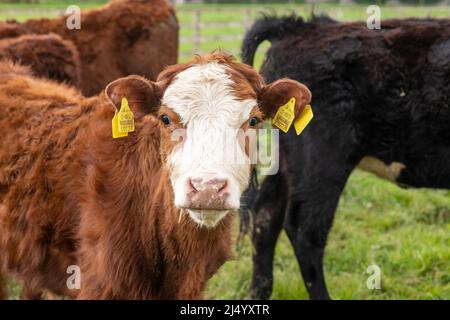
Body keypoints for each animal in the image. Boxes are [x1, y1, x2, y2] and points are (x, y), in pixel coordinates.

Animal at [241, 15, 450, 300]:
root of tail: (304, 26)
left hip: (287, 162)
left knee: (265, 215)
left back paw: (258, 293)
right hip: (322, 162)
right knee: (305, 230)